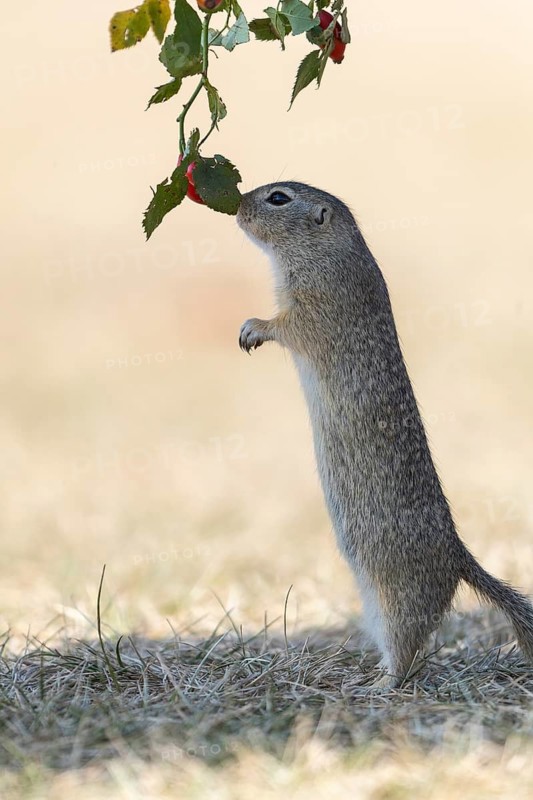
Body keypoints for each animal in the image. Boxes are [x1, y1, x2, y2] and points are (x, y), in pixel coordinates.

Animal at [236, 181, 533, 688]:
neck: (329, 250)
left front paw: (253, 328)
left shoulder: (316, 303)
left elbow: (287, 326)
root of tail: (458, 557)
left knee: (408, 648)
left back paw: (381, 685)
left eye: (278, 198)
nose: (235, 205)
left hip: (396, 598)